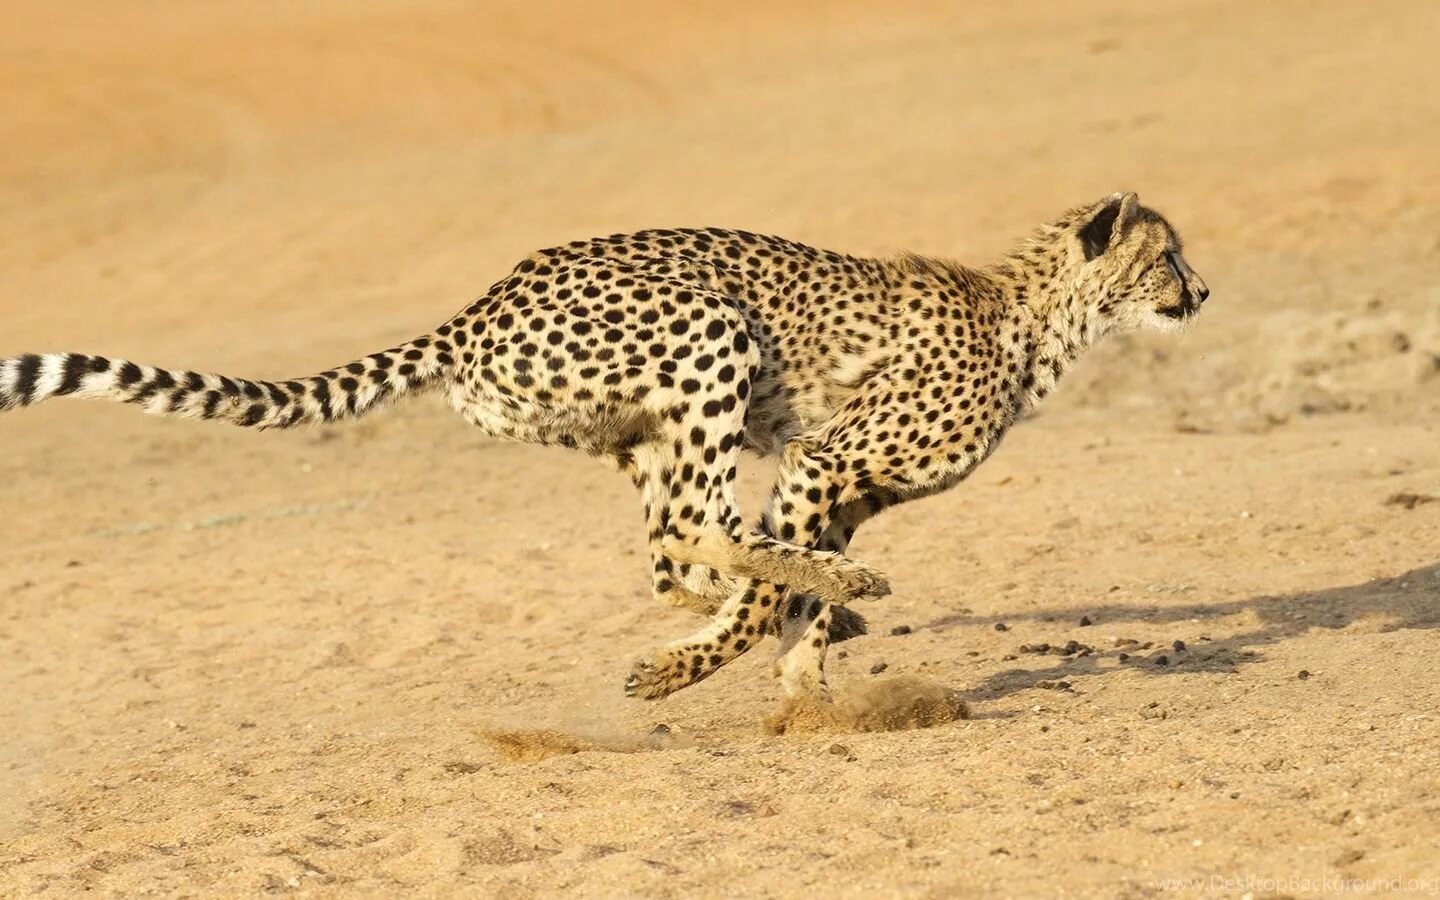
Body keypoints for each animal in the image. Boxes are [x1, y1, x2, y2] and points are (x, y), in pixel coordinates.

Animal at [0, 192, 1207, 703]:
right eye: (1168, 255)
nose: (1202, 292)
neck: (1038, 318)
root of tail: (479, 305)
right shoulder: (821, 464)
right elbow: (772, 588)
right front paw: (701, 672)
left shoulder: (839, 486)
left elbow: (782, 595)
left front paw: (805, 681)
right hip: (713, 337)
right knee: (692, 530)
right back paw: (806, 604)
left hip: (639, 427)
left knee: (672, 547)